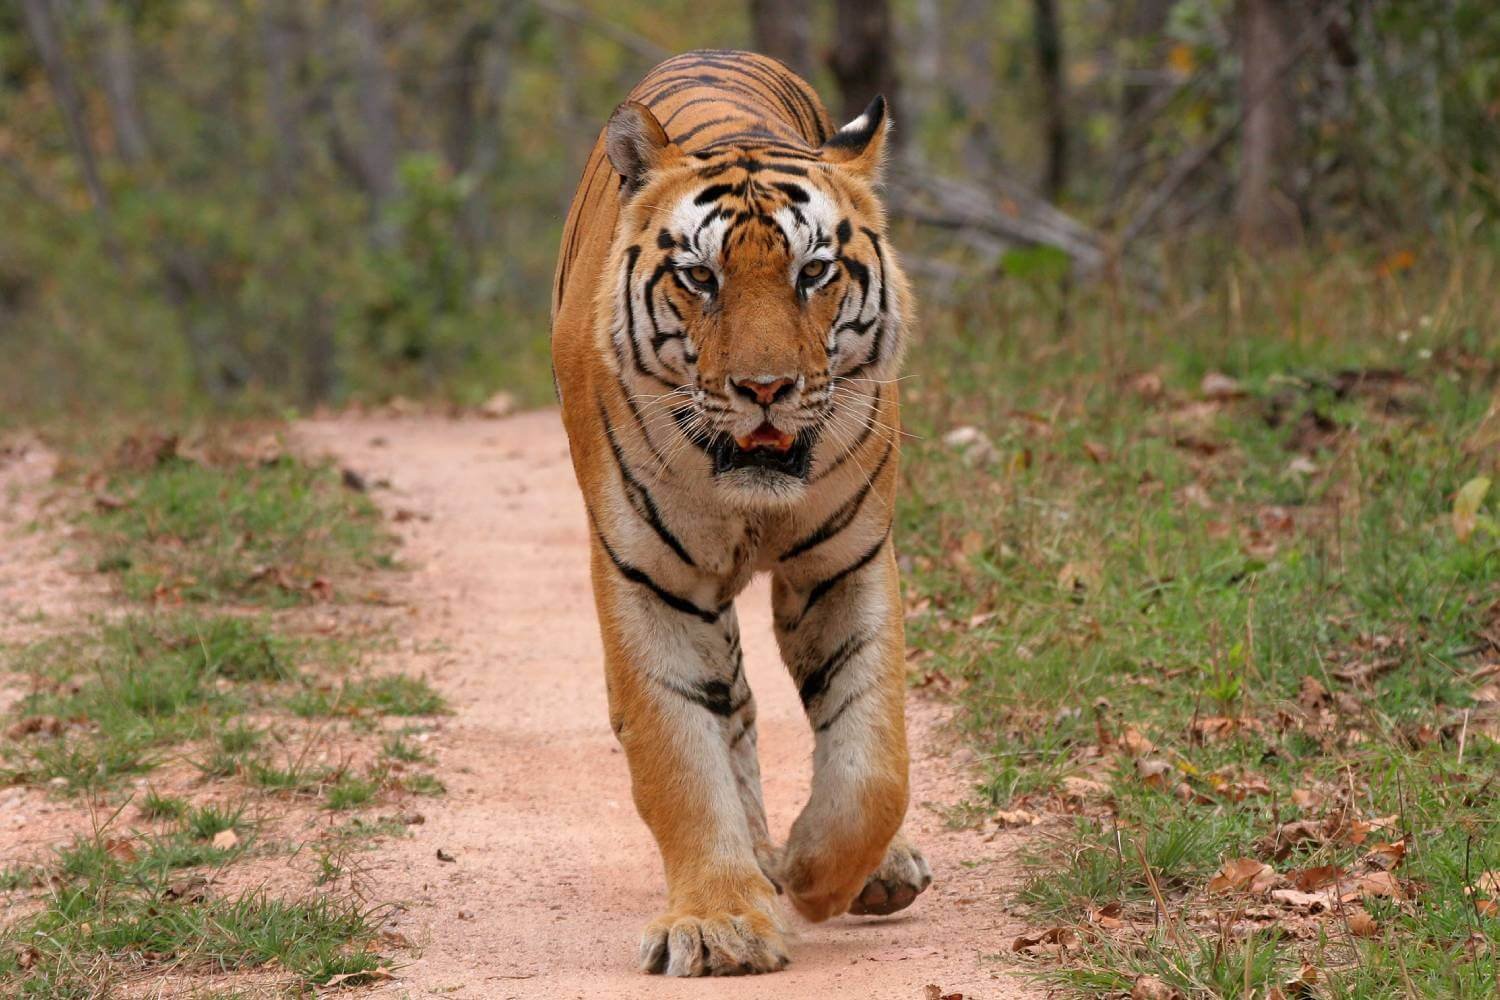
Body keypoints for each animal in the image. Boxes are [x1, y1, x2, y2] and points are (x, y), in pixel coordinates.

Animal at [552, 48, 924, 977]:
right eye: (700, 278)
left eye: (813, 273)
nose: (765, 389)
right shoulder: (648, 578)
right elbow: (681, 755)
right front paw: (721, 921)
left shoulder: (848, 561)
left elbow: (873, 758)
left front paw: (821, 874)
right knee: (737, 713)